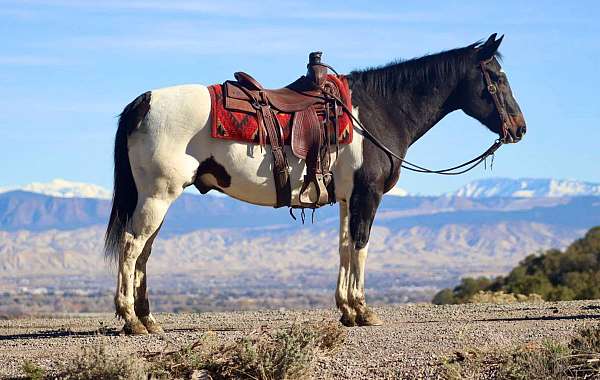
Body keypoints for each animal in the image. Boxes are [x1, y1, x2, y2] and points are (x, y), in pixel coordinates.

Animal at [104, 34, 524, 334]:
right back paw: (131, 320)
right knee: (131, 246)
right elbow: (361, 247)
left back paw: (149, 320)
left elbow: (344, 248)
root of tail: (145, 101)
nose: (519, 128)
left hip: (157, 199)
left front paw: (346, 310)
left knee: (144, 252)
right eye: (497, 78)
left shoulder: (348, 199)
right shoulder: (367, 195)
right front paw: (362, 310)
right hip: (157, 196)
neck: (376, 113)